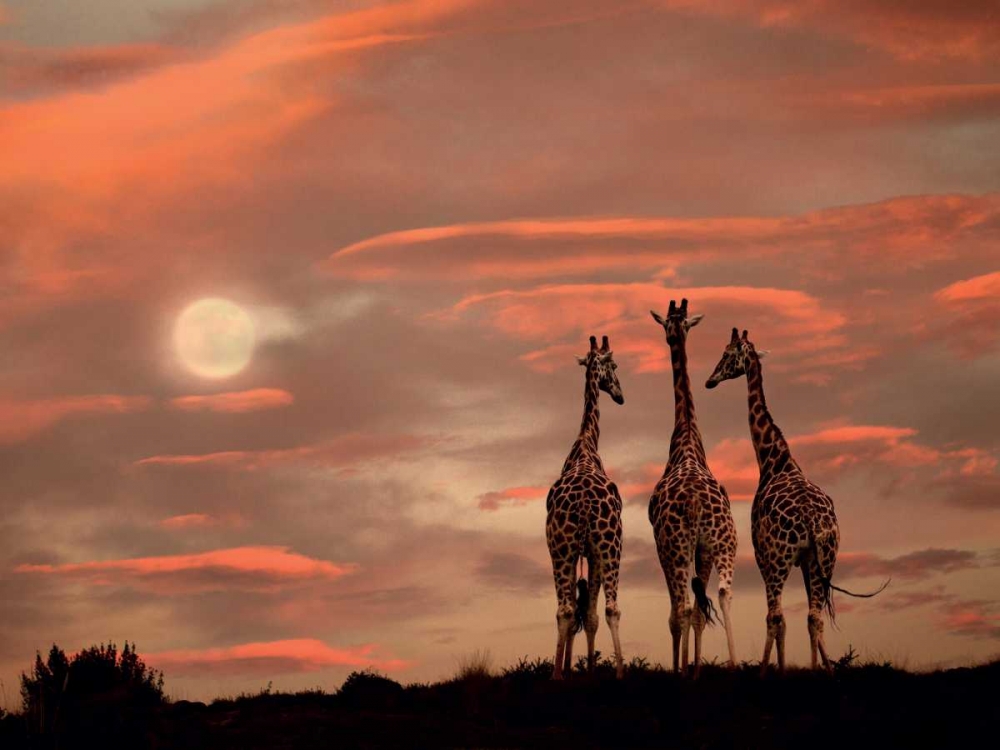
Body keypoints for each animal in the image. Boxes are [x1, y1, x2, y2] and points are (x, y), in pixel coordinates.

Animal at [706, 328, 889, 675]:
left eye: (726, 354)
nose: (710, 380)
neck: (775, 461)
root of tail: (812, 521)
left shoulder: (762, 553)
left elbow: (777, 618)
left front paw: (775, 670)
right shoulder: (807, 560)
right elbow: (806, 618)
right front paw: (819, 668)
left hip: (779, 559)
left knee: (776, 614)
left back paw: (765, 671)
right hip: (826, 558)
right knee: (814, 615)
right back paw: (822, 673)